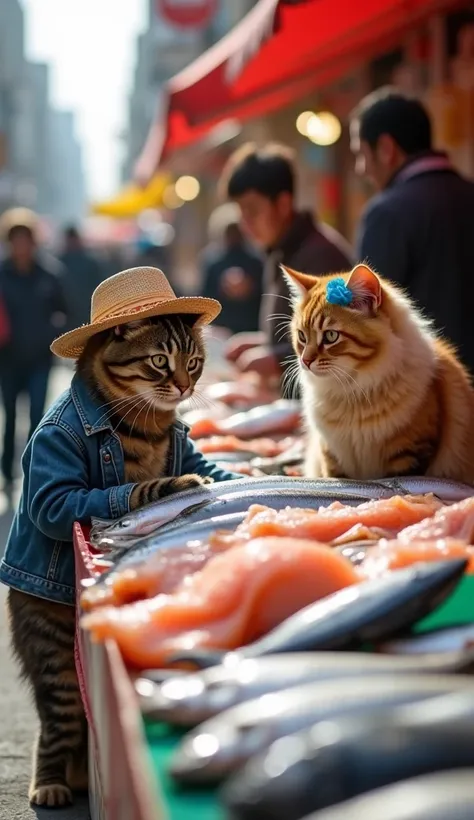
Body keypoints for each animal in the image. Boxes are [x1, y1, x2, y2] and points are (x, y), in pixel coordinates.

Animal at [6, 316, 211, 808]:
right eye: (159, 360)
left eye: (194, 362)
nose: (183, 385)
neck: (148, 422)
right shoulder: (57, 483)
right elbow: (125, 489)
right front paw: (180, 483)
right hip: (56, 658)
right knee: (53, 727)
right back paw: (51, 784)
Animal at [284, 262, 474, 484]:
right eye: (302, 337)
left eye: (331, 336)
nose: (305, 361)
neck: (351, 391)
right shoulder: (331, 456)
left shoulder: (410, 453)